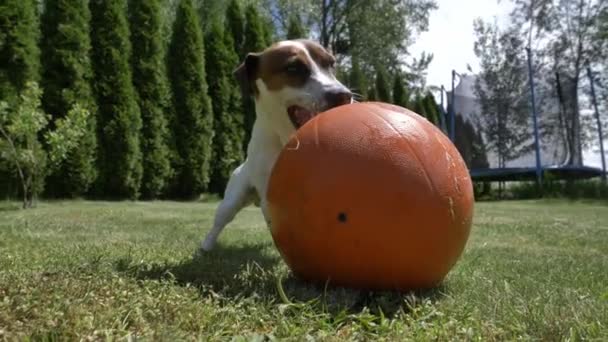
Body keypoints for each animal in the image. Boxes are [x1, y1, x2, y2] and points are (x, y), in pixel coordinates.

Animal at [200, 38, 352, 251]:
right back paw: (206, 246)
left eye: (331, 64)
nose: (343, 95)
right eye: (292, 68)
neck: (288, 139)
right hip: (232, 199)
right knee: (220, 222)